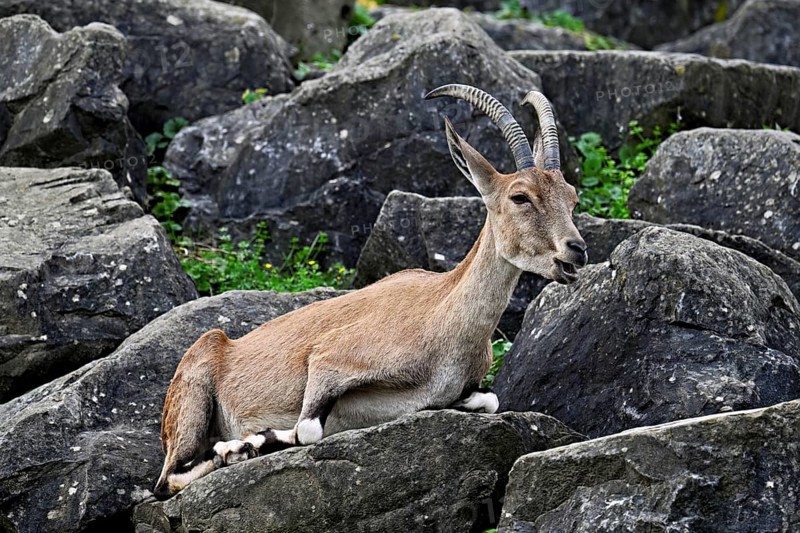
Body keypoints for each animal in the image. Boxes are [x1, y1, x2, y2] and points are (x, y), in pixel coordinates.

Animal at [153, 84, 587, 499]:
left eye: (571, 196)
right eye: (520, 196)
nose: (576, 250)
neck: (443, 319)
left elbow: (491, 400)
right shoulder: (330, 359)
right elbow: (308, 428)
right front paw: (253, 442)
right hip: (193, 396)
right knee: (165, 480)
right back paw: (232, 451)